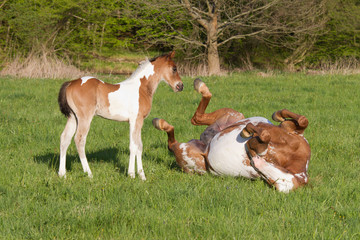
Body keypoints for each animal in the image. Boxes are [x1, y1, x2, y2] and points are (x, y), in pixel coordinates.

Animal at [58, 51, 184, 180]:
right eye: (174, 68)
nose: (180, 86)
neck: (141, 88)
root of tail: (70, 83)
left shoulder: (139, 122)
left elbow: (139, 146)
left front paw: (142, 176)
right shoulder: (135, 120)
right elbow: (133, 146)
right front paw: (132, 174)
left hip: (73, 118)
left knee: (64, 139)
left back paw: (62, 174)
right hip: (85, 118)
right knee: (79, 140)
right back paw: (89, 173)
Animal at [153, 79, 310, 193]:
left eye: (273, 183)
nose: (254, 159)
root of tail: (205, 145)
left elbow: (263, 136)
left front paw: (249, 131)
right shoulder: (290, 131)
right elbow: (302, 120)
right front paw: (276, 115)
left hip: (187, 153)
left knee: (175, 139)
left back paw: (161, 123)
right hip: (233, 115)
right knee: (197, 118)